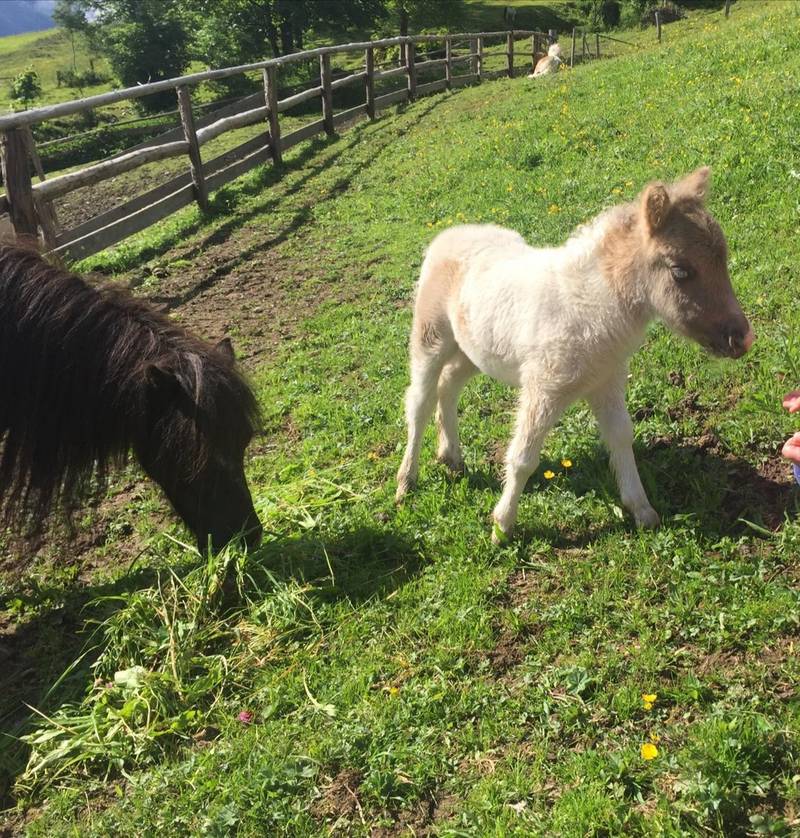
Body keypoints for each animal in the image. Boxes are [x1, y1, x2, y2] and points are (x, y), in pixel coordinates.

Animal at [396, 167, 752, 540]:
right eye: (680, 270)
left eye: (723, 259)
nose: (743, 338)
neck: (591, 307)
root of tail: (447, 235)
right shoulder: (543, 388)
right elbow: (523, 457)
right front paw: (502, 527)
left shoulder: (607, 381)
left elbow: (621, 437)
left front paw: (642, 510)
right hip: (431, 339)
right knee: (419, 402)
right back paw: (406, 481)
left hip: (471, 350)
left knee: (448, 385)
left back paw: (451, 456)